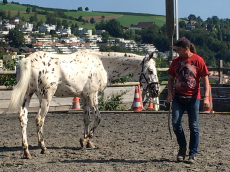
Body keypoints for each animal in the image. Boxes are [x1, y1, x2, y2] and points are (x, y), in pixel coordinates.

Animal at [3, 49, 160, 159]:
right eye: (150, 70)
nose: (156, 91)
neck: (101, 64)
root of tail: (28, 60)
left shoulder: (84, 98)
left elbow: (87, 119)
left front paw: (88, 142)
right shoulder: (92, 96)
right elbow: (98, 118)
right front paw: (84, 140)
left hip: (27, 95)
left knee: (23, 118)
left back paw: (26, 152)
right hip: (46, 97)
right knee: (39, 119)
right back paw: (43, 147)